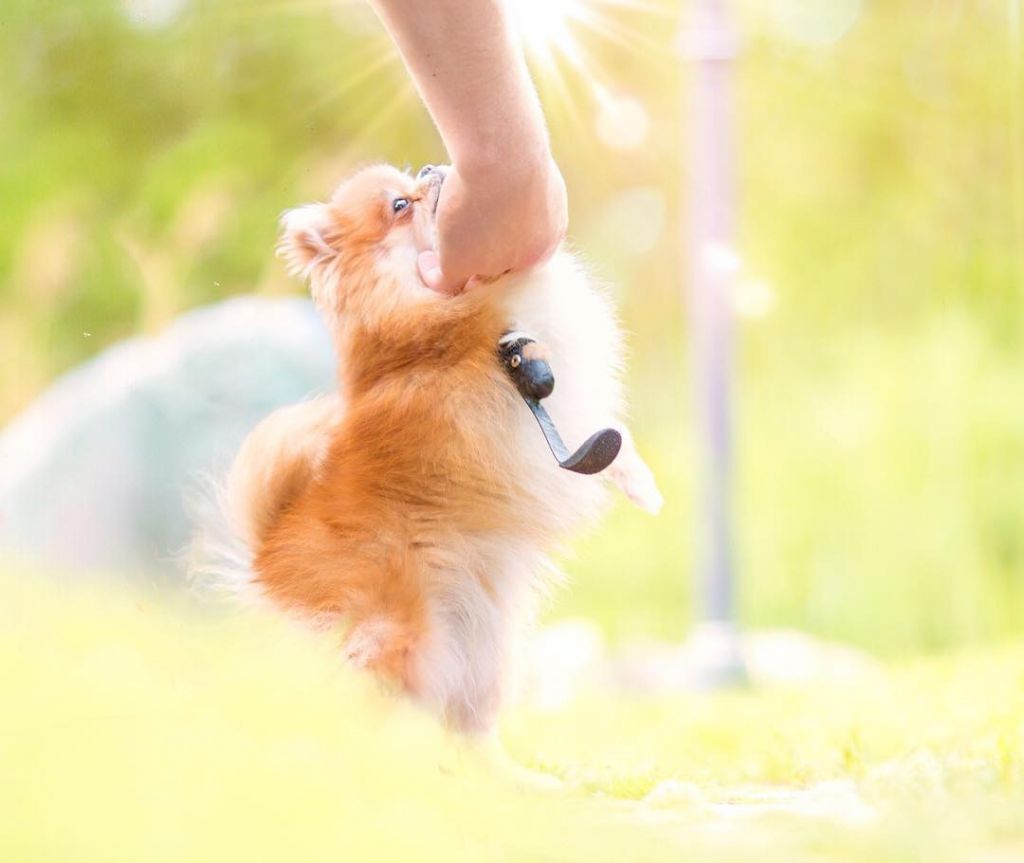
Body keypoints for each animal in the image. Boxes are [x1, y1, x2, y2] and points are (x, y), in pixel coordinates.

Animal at [217, 161, 663, 737]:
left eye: (411, 178)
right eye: (399, 205)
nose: (432, 167)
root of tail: (264, 564)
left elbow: (613, 441)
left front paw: (641, 485)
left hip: (481, 653)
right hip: (400, 636)